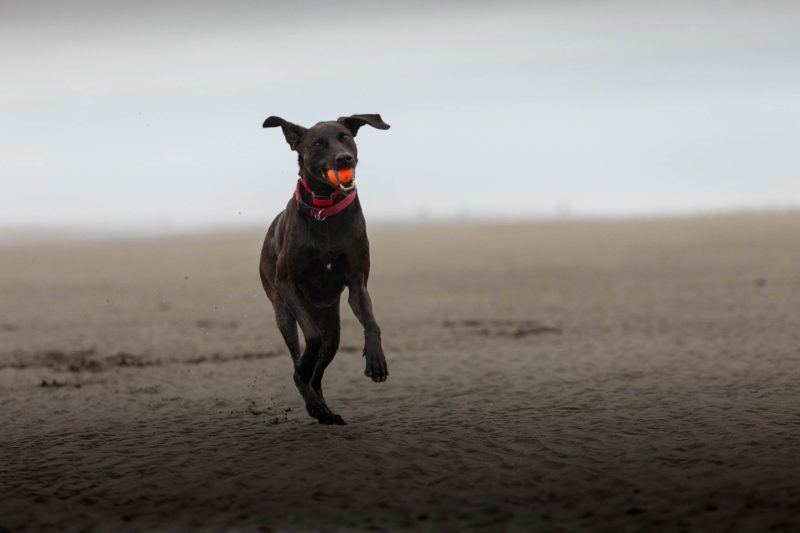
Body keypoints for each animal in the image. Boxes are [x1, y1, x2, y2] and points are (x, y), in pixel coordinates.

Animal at [260, 113, 390, 424]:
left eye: (346, 136)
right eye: (318, 144)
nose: (344, 159)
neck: (324, 209)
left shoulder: (357, 283)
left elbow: (372, 323)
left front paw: (376, 360)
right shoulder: (287, 284)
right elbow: (311, 339)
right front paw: (303, 370)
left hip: (333, 325)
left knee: (320, 371)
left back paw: (323, 409)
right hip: (282, 310)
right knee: (299, 357)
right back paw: (311, 397)